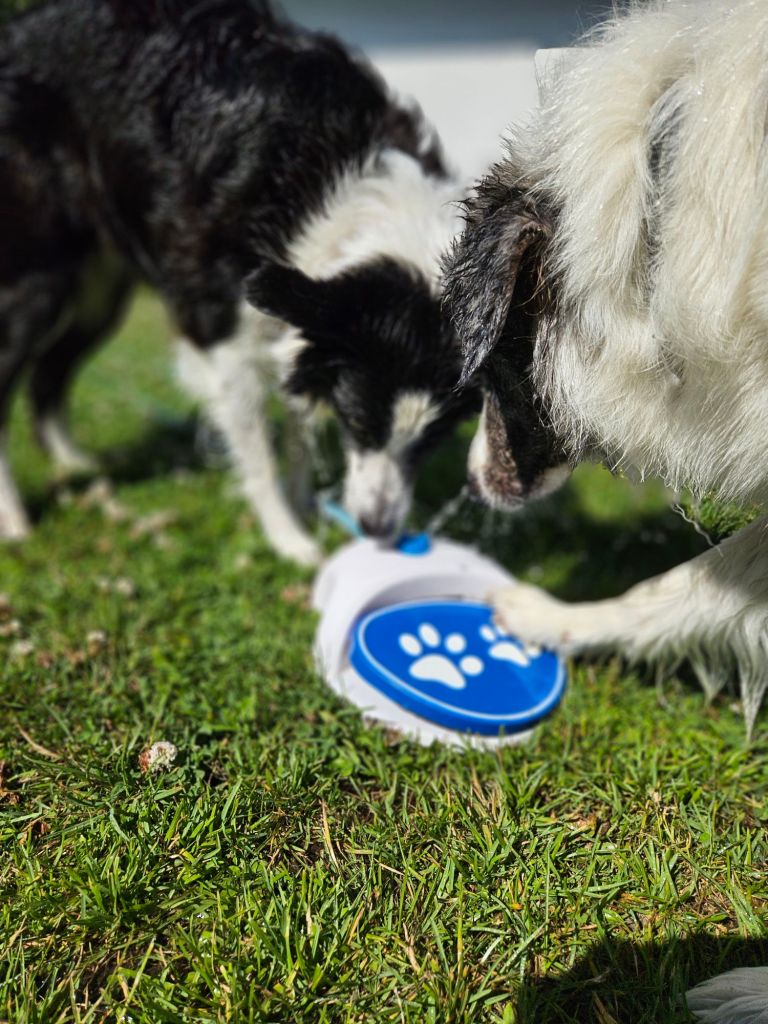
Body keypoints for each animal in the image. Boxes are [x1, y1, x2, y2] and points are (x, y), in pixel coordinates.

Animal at [0, 0, 478, 565]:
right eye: (360, 423)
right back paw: (13, 516)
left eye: (431, 441)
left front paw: (305, 504)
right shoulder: (225, 335)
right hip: (41, 280)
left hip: (101, 290)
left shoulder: (303, 321)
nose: (377, 530)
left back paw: (76, 463)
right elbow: (261, 453)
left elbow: (298, 419)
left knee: (50, 372)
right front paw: (291, 539)